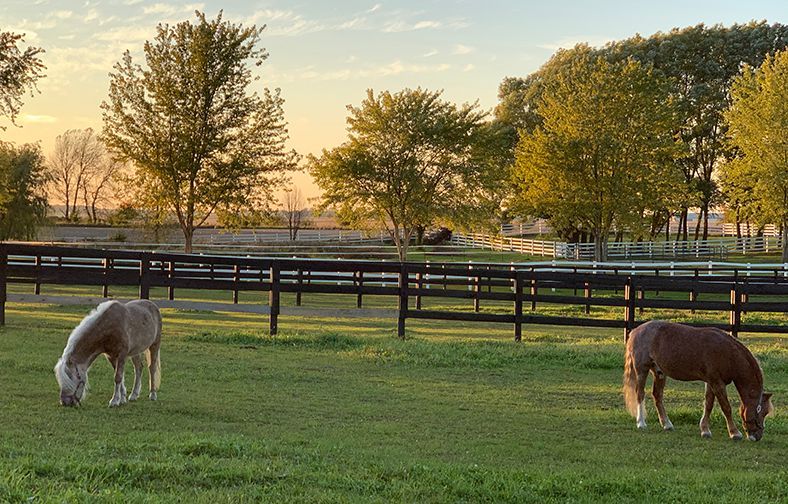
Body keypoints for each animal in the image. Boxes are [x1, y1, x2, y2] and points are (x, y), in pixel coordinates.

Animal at [623, 320, 773, 441]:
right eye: (761, 412)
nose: (757, 436)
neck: (728, 353)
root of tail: (636, 331)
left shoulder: (711, 382)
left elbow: (708, 405)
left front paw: (705, 430)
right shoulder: (717, 383)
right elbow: (726, 407)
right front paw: (735, 433)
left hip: (659, 373)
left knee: (657, 396)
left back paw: (667, 424)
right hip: (642, 369)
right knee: (640, 394)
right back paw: (641, 423)